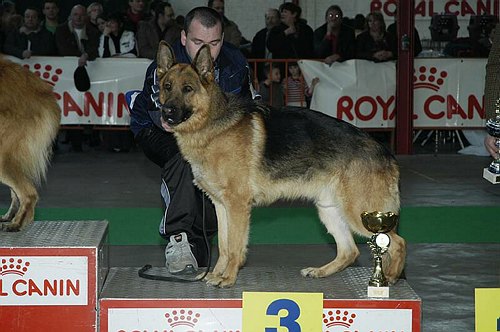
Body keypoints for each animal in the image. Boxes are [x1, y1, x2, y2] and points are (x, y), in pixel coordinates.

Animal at [156, 40, 406, 286]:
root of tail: (385, 152)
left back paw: (390, 278)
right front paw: (216, 274)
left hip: (361, 213)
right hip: (330, 210)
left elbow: (235, 246)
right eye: (167, 86)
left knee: (396, 242)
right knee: (350, 251)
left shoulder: (237, 205)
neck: (212, 124)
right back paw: (320, 272)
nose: (166, 112)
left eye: (188, 89)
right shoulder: (221, 205)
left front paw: (228, 277)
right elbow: (225, 246)